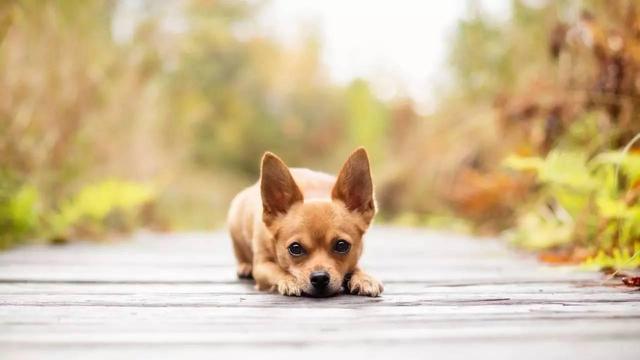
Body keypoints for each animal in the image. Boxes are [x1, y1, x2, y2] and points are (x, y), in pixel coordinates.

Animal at [228, 148, 382, 296]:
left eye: (342, 245)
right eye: (295, 248)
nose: (320, 278)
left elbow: (356, 267)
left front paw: (364, 278)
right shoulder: (261, 266)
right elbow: (278, 270)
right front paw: (290, 280)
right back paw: (245, 267)